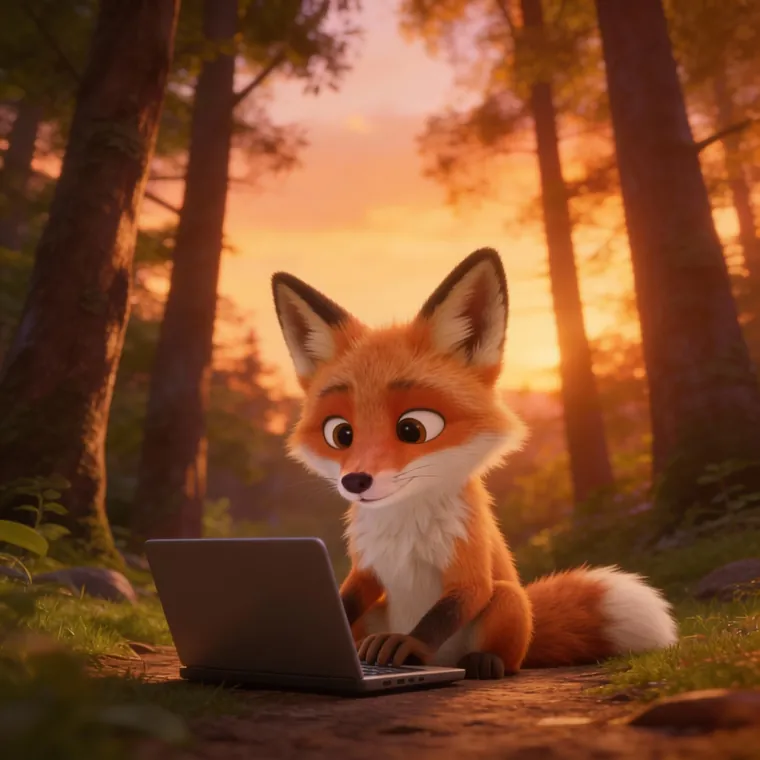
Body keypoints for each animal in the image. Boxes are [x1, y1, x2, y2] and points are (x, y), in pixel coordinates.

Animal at [270, 248, 678, 679]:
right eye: (341, 434)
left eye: (413, 428)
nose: (356, 481)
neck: (402, 525)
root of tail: (443, 663)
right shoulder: (367, 568)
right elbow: (347, 597)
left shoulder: (468, 559)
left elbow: (450, 608)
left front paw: (408, 644)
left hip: (509, 602)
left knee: (506, 653)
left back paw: (483, 662)